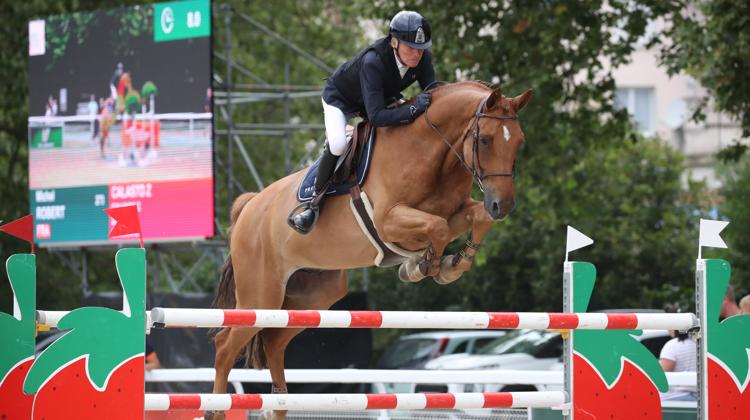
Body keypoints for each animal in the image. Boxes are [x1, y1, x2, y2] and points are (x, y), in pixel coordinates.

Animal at [209, 80, 532, 418]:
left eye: (519, 142)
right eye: (485, 140)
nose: (503, 206)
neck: (431, 151)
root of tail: (249, 206)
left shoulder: (454, 211)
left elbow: (474, 217)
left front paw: (452, 265)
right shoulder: (388, 221)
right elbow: (438, 228)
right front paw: (422, 266)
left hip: (314, 294)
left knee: (273, 341)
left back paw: (278, 406)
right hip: (261, 294)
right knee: (225, 345)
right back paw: (216, 408)